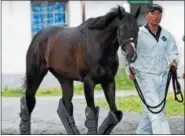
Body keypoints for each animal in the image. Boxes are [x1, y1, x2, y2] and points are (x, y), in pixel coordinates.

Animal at [19, 4, 140, 134]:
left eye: (137, 29)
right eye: (123, 28)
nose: (132, 54)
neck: (98, 46)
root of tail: (37, 36)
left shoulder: (109, 81)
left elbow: (116, 114)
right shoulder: (89, 82)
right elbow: (91, 113)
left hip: (65, 79)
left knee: (65, 105)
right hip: (35, 75)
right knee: (28, 101)